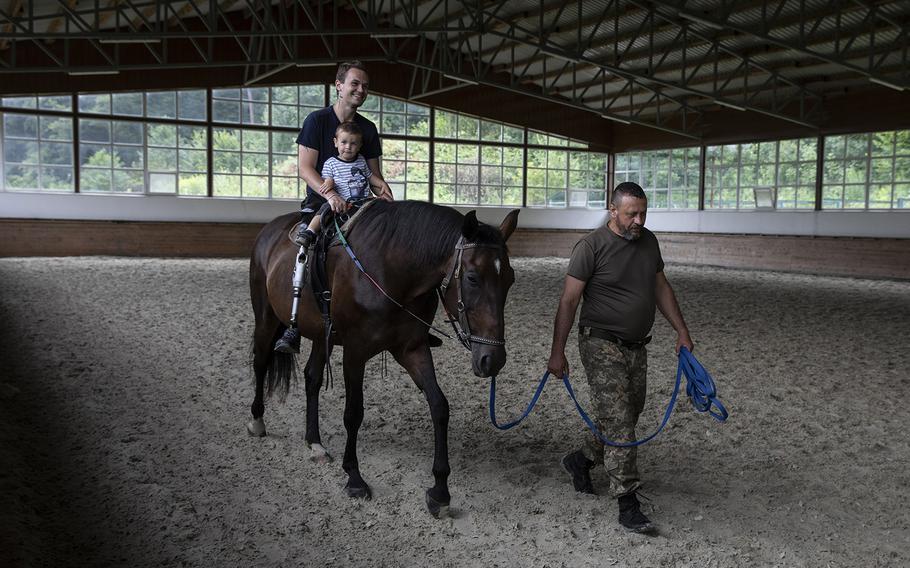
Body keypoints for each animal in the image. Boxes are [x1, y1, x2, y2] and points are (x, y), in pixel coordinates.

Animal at [248, 202, 520, 516]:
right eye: (472, 278)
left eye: (510, 279)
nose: (493, 359)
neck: (393, 273)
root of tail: (269, 230)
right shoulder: (355, 352)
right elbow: (353, 413)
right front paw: (354, 478)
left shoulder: (412, 349)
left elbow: (439, 406)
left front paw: (440, 491)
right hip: (266, 316)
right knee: (260, 362)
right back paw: (257, 420)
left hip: (319, 334)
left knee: (312, 378)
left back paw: (314, 442)